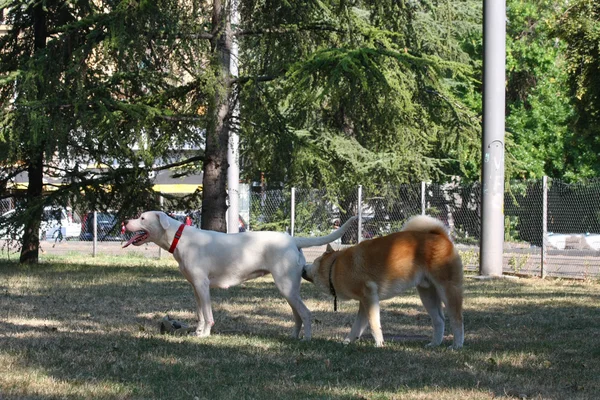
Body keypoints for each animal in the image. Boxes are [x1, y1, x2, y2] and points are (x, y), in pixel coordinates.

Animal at [122, 211, 356, 340]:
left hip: (286, 287)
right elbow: (199, 314)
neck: (179, 237)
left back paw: (306, 340)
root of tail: (293, 240)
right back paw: (294, 337)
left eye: (142, 217)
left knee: (306, 314)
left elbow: (208, 314)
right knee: (298, 315)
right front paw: (198, 332)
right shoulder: (196, 288)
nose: (124, 221)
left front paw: (205, 334)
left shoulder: (202, 285)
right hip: (290, 290)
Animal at [302, 214, 466, 348]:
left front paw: (379, 344)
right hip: (427, 294)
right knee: (439, 320)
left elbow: (374, 325)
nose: (303, 267)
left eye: (314, 261)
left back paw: (456, 345)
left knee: (457, 319)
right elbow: (357, 327)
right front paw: (346, 342)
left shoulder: (369, 298)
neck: (334, 267)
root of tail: (442, 236)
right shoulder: (364, 303)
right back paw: (434, 344)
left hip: (448, 290)